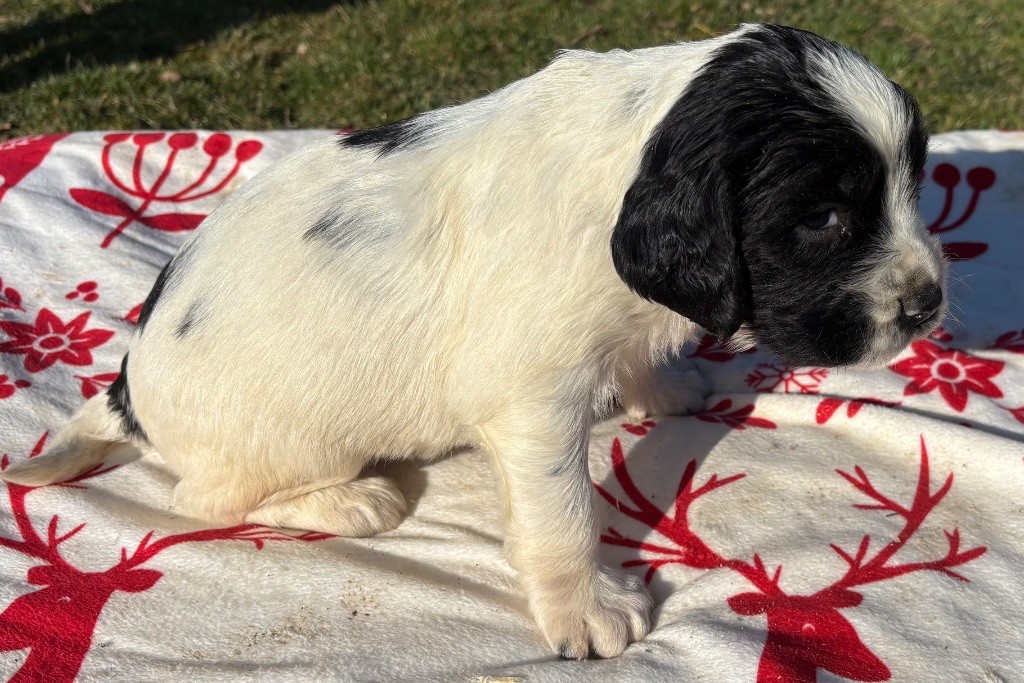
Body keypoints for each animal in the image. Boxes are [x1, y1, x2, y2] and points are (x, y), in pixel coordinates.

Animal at [2, 24, 942, 659]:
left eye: (914, 181)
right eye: (824, 218)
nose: (930, 304)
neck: (631, 155)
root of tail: (129, 392)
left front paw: (665, 385)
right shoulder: (534, 399)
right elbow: (565, 511)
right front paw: (587, 611)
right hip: (275, 441)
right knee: (205, 499)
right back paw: (350, 500)